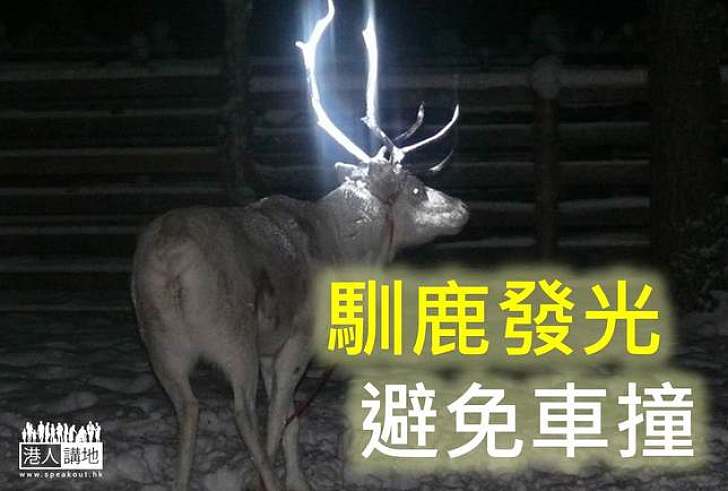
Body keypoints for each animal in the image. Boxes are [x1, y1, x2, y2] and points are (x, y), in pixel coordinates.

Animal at [130, 1, 467, 490]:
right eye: (418, 190)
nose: (463, 208)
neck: (342, 251)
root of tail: (171, 265)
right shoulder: (298, 339)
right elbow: (282, 415)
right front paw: (275, 478)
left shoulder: (272, 350)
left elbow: (291, 419)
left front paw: (299, 479)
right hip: (232, 334)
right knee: (241, 411)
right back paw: (261, 477)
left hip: (160, 343)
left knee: (188, 408)